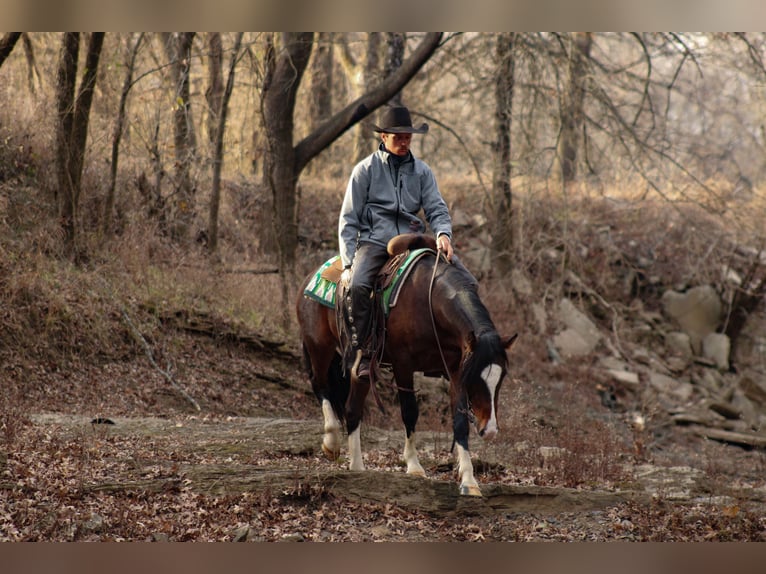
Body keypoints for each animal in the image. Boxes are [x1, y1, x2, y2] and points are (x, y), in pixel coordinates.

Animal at [296, 233, 516, 496]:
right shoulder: (404, 365)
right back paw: (332, 443)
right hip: (319, 347)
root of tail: (311, 276)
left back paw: (356, 465)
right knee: (321, 386)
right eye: (476, 379)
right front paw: (414, 466)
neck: (429, 302)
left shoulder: (456, 370)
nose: (490, 431)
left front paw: (469, 481)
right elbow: (410, 412)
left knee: (352, 407)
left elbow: (460, 422)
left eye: (500, 380)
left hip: (358, 370)